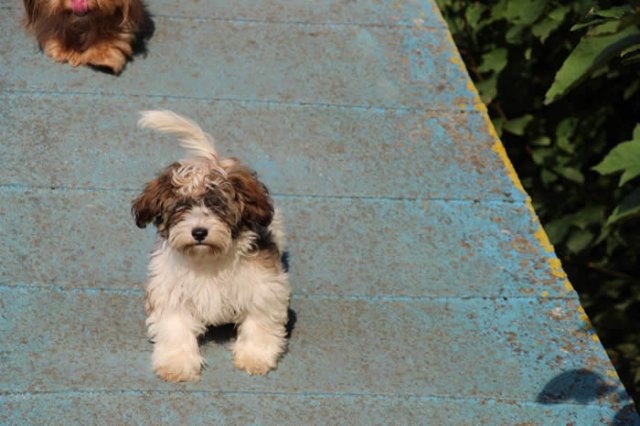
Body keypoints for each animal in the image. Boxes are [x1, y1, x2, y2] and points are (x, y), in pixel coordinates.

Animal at [132, 110, 291, 382]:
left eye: (217, 205)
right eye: (182, 207)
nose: (199, 232)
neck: (207, 259)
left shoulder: (264, 286)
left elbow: (259, 321)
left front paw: (254, 357)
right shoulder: (170, 291)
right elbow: (175, 327)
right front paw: (177, 363)